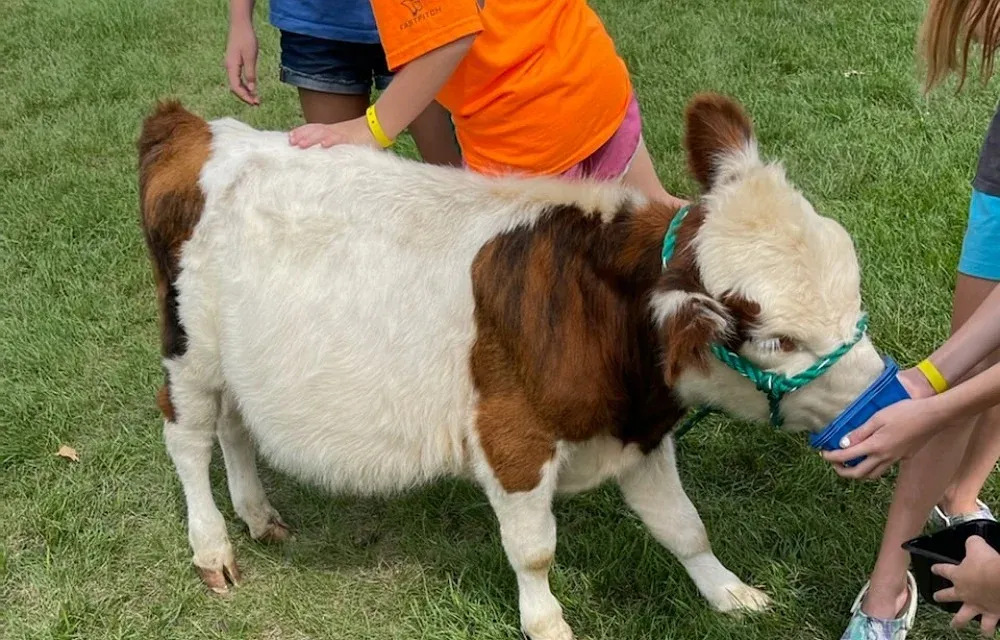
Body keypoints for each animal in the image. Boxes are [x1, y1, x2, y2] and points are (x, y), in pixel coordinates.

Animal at [137, 93, 884, 640]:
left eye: (853, 292)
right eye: (779, 341)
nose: (883, 396)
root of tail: (200, 129)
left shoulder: (639, 434)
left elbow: (684, 526)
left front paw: (731, 593)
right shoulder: (512, 441)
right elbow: (534, 550)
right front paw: (548, 624)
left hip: (240, 363)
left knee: (234, 427)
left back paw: (259, 515)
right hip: (189, 350)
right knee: (186, 434)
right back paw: (213, 548)